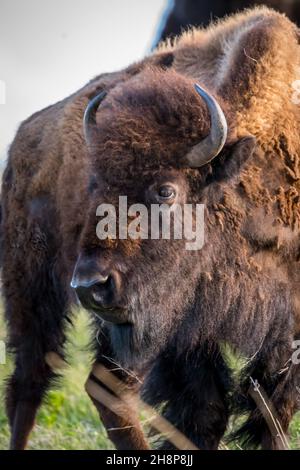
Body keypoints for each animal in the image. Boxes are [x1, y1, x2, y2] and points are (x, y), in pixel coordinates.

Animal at [1, 5, 300, 450]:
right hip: (35, 290)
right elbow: (208, 410)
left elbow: (269, 414)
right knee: (33, 382)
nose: (90, 286)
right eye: (95, 184)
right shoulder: (181, 334)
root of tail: (25, 135)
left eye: (166, 190)